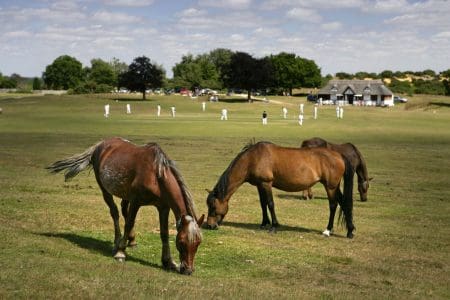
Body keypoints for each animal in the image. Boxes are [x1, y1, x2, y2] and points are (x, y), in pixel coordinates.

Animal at [46, 137, 204, 276]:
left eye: (198, 243)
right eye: (181, 242)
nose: (188, 270)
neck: (156, 175)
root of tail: (100, 145)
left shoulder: (163, 207)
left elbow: (164, 233)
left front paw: (168, 262)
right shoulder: (136, 201)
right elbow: (128, 223)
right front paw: (120, 253)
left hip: (125, 194)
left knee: (123, 210)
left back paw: (131, 240)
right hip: (105, 189)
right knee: (115, 212)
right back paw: (118, 242)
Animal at [206, 141, 356, 239]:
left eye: (213, 207)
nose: (210, 226)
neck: (253, 158)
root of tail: (339, 155)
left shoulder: (266, 184)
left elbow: (270, 204)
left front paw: (273, 226)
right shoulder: (260, 185)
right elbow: (263, 204)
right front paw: (264, 223)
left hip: (330, 187)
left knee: (333, 205)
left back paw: (328, 230)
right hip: (334, 186)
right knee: (343, 203)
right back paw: (350, 231)